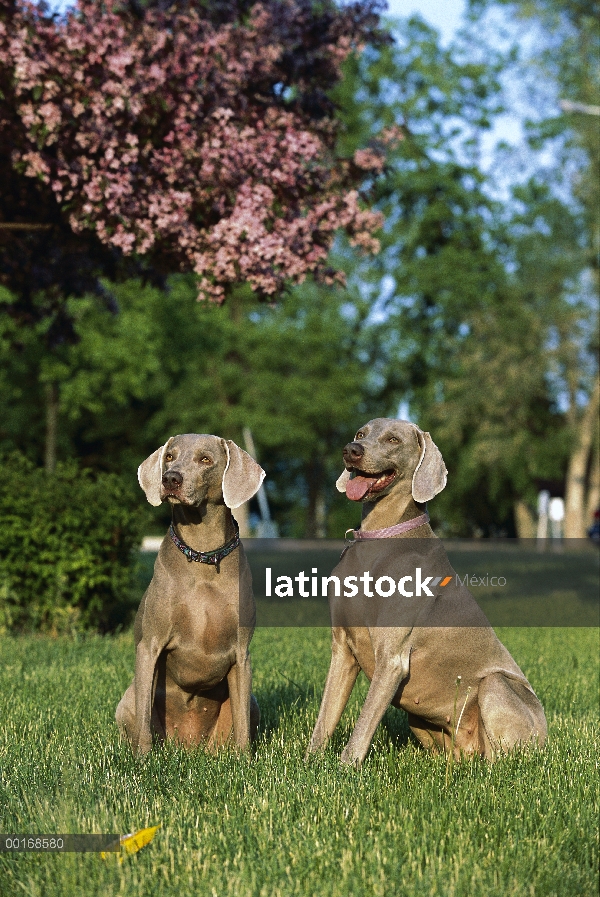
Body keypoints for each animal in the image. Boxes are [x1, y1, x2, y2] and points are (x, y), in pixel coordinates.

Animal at [116, 434, 264, 756]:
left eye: (205, 459)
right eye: (170, 456)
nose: (170, 478)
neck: (203, 555)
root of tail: (188, 744)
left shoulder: (242, 653)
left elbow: (243, 726)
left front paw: (245, 761)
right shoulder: (150, 646)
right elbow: (144, 720)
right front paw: (143, 761)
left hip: (250, 704)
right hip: (127, 699)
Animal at [308, 420, 548, 764]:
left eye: (393, 440)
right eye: (360, 434)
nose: (351, 450)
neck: (379, 536)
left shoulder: (392, 658)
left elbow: (364, 723)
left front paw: (345, 768)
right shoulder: (342, 649)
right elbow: (325, 717)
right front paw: (309, 763)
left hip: (496, 686)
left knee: (502, 757)